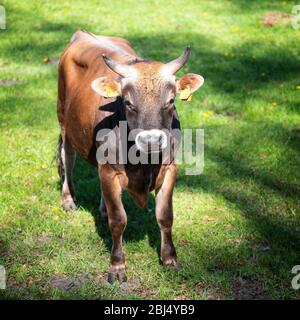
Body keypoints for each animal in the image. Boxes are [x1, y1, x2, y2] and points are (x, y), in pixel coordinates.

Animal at [56, 29, 204, 280]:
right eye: (128, 102)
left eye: (171, 101)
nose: (151, 140)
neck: (143, 162)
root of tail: (83, 34)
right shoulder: (109, 170)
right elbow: (118, 220)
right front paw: (117, 266)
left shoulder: (170, 168)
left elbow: (165, 216)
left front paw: (170, 259)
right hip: (64, 120)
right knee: (68, 159)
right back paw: (68, 199)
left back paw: (102, 209)